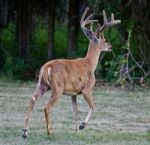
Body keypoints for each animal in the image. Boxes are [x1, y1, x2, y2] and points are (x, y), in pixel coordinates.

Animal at [22, 7, 120, 138]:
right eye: (104, 40)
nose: (110, 47)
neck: (90, 64)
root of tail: (47, 68)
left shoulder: (74, 93)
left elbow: (75, 109)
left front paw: (76, 129)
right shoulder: (86, 88)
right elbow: (93, 106)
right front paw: (82, 125)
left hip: (42, 84)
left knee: (32, 100)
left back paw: (25, 131)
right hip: (57, 87)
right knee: (47, 107)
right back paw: (49, 131)